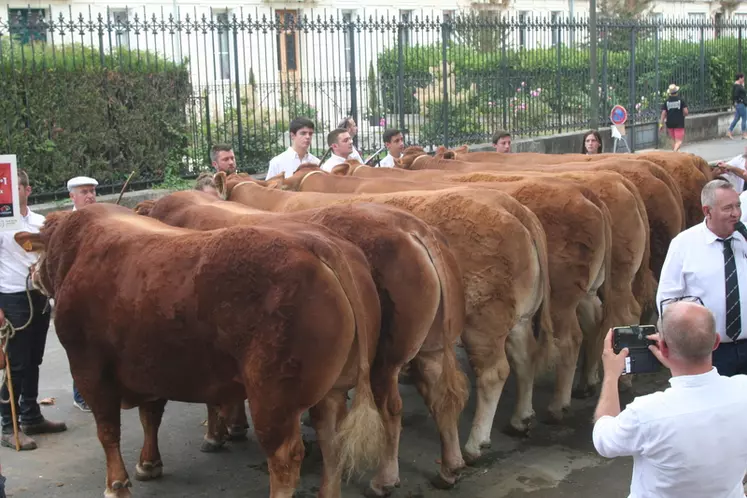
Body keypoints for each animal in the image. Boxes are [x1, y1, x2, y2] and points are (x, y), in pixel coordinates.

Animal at [13, 202, 382, 498]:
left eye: (38, 252)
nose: (32, 274)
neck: (77, 252)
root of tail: (319, 241)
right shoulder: (149, 365)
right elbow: (150, 415)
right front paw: (149, 463)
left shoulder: (89, 367)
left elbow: (108, 430)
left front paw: (116, 485)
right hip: (331, 391)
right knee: (332, 442)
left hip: (273, 396)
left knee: (285, 457)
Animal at [136, 192, 468, 494]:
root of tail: (411, 225)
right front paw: (235, 426)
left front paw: (213, 436)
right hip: (430, 347)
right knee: (441, 396)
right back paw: (450, 467)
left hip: (385, 360)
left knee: (391, 409)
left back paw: (384, 479)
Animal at [212, 174, 560, 462]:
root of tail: (513, 207)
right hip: (517, 318)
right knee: (524, 356)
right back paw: (521, 417)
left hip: (483, 321)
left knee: (494, 373)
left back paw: (476, 443)